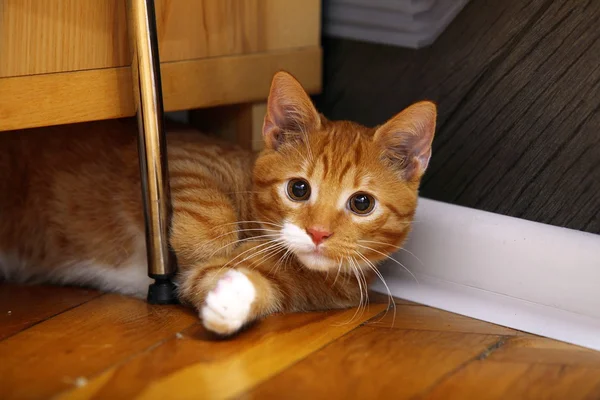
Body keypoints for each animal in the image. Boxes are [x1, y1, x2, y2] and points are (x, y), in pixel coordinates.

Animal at [0, 71, 434, 334]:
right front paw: (208, 248)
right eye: (298, 189)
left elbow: (219, 281)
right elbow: (211, 219)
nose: (318, 233)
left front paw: (231, 296)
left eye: (361, 203)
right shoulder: (179, 153)